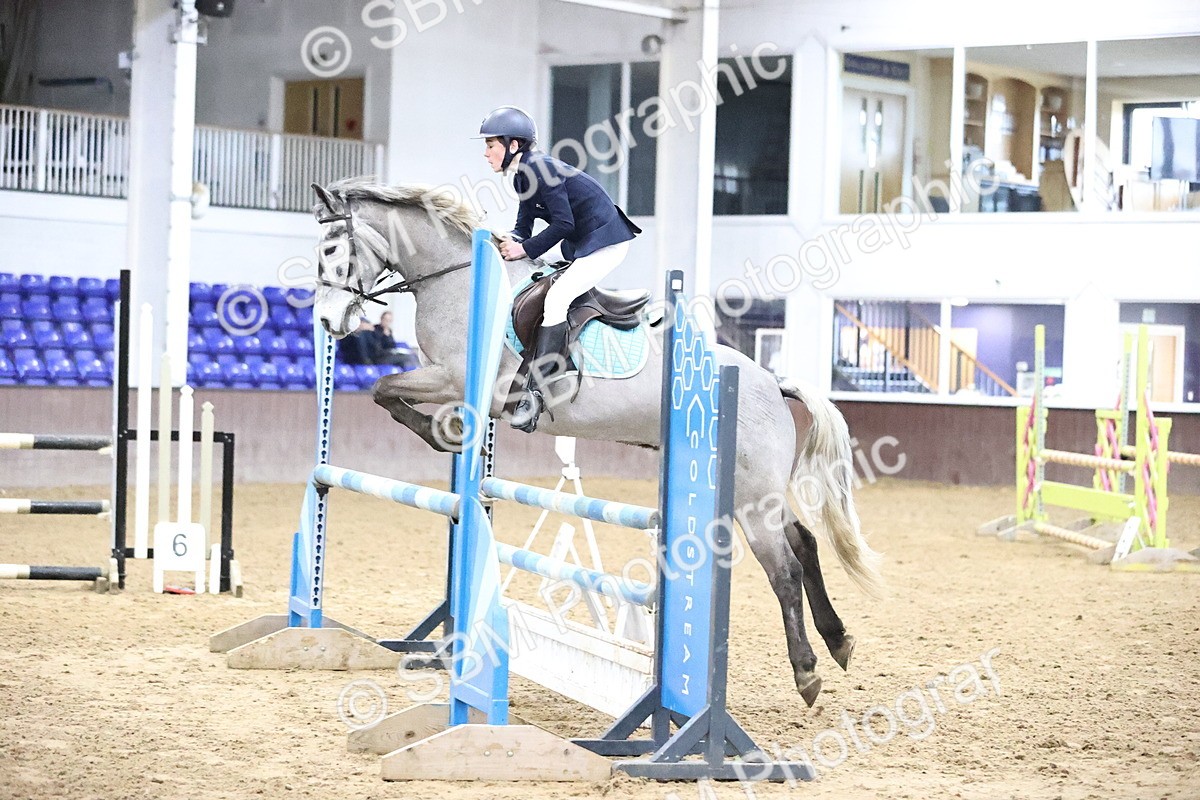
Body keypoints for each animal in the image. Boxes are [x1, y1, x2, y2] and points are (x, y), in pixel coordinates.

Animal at [309, 178, 884, 706]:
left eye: (331, 249)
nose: (327, 321)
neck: (460, 279)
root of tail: (770, 380)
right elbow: (386, 392)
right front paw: (447, 434)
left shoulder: (454, 378)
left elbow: (386, 389)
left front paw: (442, 433)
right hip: (755, 492)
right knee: (804, 542)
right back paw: (839, 641)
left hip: (750, 498)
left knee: (783, 568)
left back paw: (807, 672)